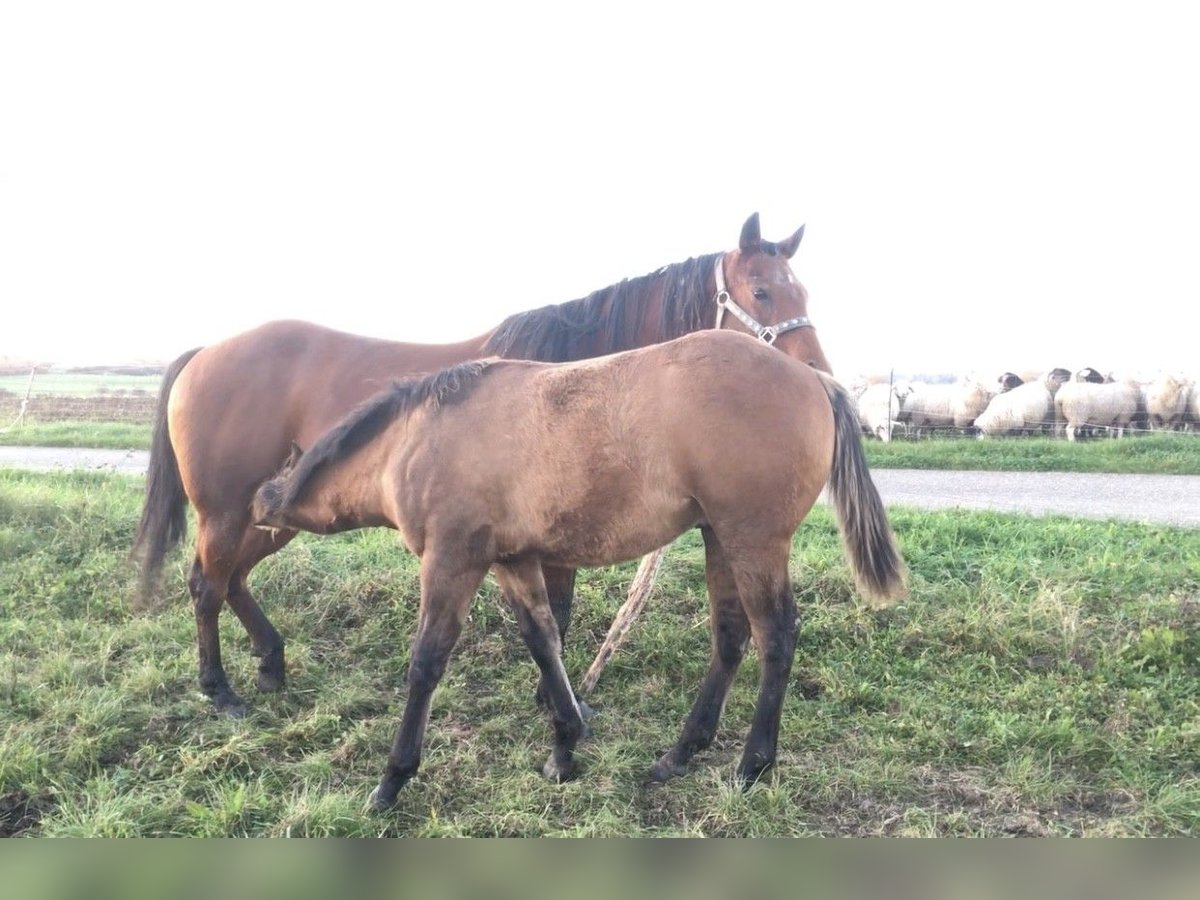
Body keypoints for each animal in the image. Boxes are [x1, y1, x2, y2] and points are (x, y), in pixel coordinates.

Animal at [136, 213, 835, 720]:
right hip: (226, 512)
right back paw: (220, 690)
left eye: (805, 291)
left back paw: (271, 662)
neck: (579, 376)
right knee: (206, 585)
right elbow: (557, 616)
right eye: (762, 291)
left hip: (272, 514)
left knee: (231, 579)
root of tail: (205, 353)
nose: (819, 382)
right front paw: (555, 702)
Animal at [253, 328, 902, 811]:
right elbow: (544, 641)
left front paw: (392, 779)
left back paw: (752, 765)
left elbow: (427, 663)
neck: (414, 441)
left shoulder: (452, 560)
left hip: (755, 541)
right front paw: (565, 747)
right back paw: (681, 753)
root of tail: (815, 380)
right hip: (720, 538)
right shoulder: (513, 560)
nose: (257, 506)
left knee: (777, 637)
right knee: (730, 636)